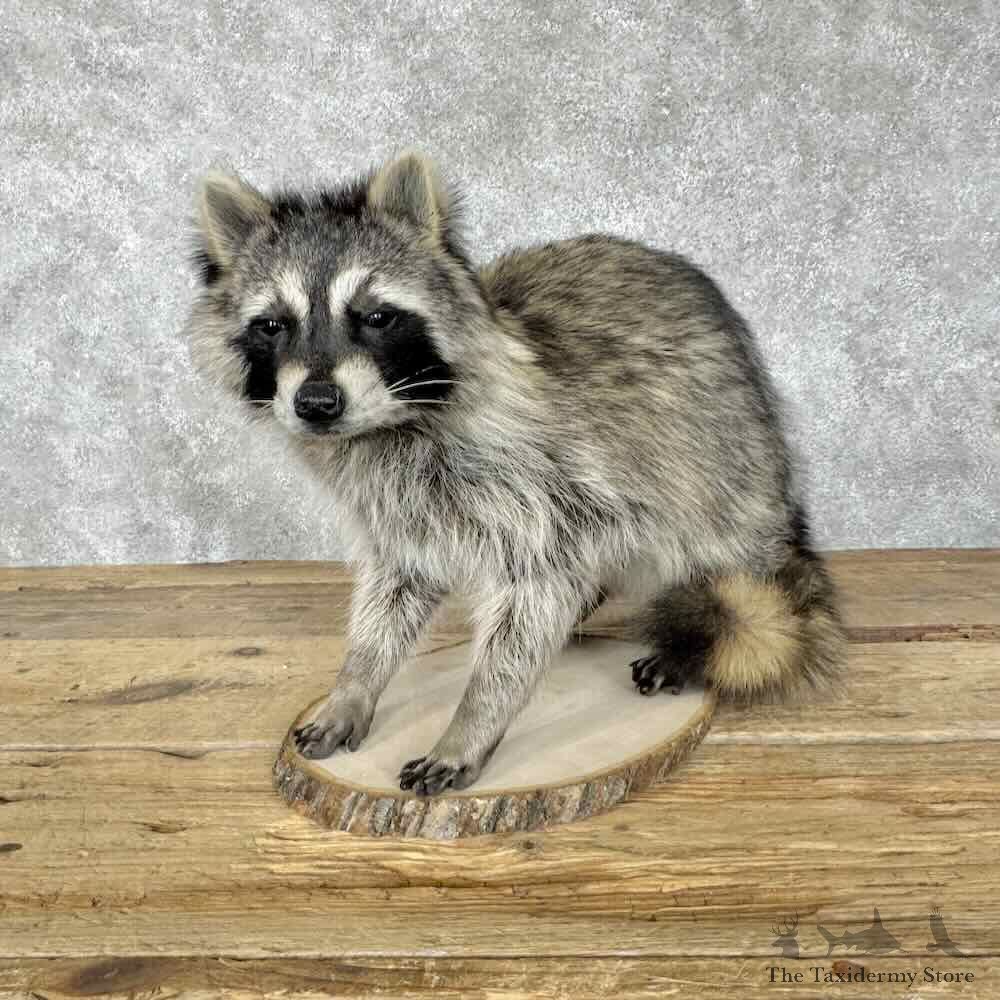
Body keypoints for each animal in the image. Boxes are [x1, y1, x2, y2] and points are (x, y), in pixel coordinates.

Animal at [184, 151, 846, 796]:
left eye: (375, 316)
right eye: (274, 324)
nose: (317, 403)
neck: (391, 424)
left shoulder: (556, 486)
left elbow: (533, 600)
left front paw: (473, 720)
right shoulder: (394, 507)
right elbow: (392, 591)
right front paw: (358, 680)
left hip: (728, 467)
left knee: (735, 579)